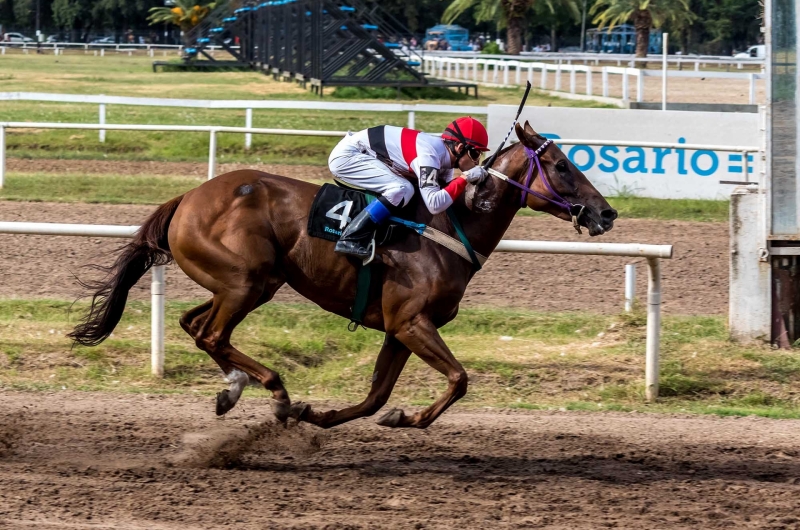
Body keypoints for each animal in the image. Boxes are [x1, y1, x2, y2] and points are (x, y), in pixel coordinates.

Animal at [70, 124, 620, 428]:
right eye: (562, 165)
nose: (607, 213)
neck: (451, 223)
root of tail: (188, 196)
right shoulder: (411, 322)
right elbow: (460, 379)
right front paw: (410, 418)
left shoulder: (399, 330)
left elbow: (376, 398)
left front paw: (328, 416)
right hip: (246, 280)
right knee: (212, 333)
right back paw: (275, 391)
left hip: (246, 282)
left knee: (195, 325)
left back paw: (235, 389)